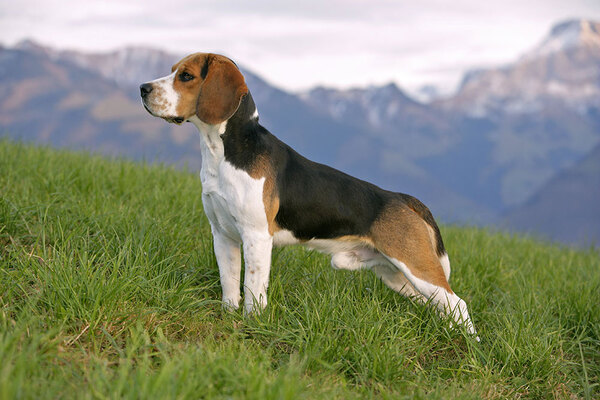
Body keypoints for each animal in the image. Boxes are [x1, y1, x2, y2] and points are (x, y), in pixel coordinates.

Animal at [139, 53, 478, 340]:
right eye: (172, 71)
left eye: (186, 76)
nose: (142, 88)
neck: (222, 151)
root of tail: (403, 198)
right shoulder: (223, 235)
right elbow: (229, 283)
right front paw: (228, 317)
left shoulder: (256, 237)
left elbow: (253, 287)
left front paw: (252, 325)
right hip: (395, 276)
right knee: (442, 306)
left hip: (416, 266)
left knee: (457, 304)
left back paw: (469, 346)